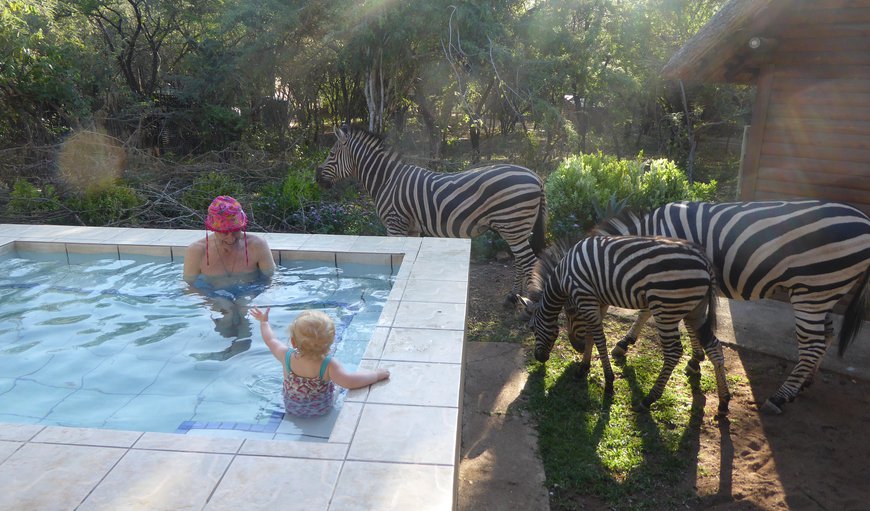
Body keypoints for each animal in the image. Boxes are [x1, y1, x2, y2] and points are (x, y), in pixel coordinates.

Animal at [316, 125, 544, 300]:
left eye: (331, 154)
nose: (317, 180)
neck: (387, 180)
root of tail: (536, 176)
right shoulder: (411, 228)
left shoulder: (394, 224)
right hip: (515, 228)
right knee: (520, 261)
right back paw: (513, 296)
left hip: (513, 224)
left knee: (529, 262)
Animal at [516, 238, 736, 418]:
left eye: (533, 329)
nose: (539, 358)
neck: (563, 276)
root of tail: (705, 261)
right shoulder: (598, 300)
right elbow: (591, 335)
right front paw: (583, 368)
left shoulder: (585, 297)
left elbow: (599, 339)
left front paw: (609, 381)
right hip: (696, 310)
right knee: (714, 347)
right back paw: (724, 402)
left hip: (666, 308)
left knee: (674, 352)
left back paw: (648, 399)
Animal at [592, 201, 870, 416]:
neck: (645, 241)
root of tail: (864, 219)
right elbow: (688, 324)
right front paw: (696, 359)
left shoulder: (669, 279)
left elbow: (647, 312)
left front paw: (624, 343)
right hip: (825, 291)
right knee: (826, 337)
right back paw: (804, 383)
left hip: (814, 289)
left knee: (812, 345)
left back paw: (779, 397)